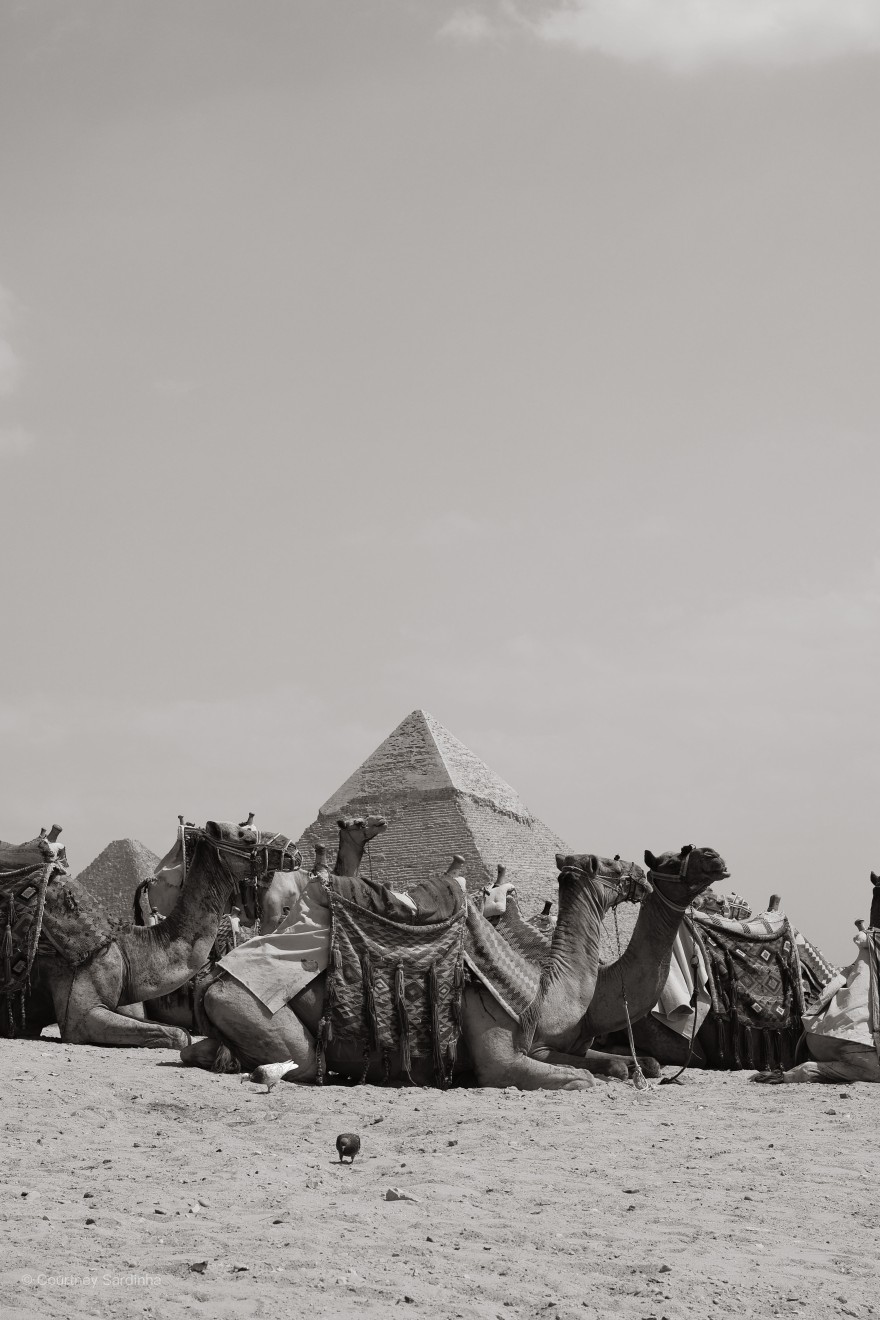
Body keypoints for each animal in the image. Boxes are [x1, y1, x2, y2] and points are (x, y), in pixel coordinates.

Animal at [18, 820, 301, 1049]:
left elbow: (175, 1030)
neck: (130, 944)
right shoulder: (81, 1015)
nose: (294, 851)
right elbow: (180, 1035)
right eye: (245, 835)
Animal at [180, 851, 665, 1089]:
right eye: (610, 863)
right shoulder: (495, 1036)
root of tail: (211, 978)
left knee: (199, 1052)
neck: (540, 988)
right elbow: (576, 1078)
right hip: (247, 1003)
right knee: (296, 1061)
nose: (643, 876)